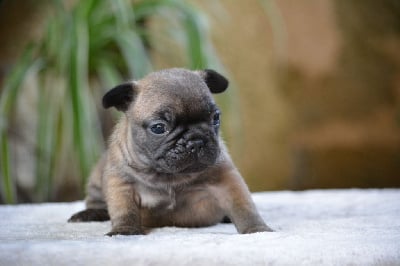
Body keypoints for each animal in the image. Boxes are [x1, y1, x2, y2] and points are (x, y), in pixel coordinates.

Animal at [69, 68, 272, 235]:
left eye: (215, 118)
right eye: (159, 128)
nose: (196, 140)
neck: (168, 176)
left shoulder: (227, 180)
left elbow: (244, 206)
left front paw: (257, 229)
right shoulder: (121, 184)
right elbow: (124, 209)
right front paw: (124, 230)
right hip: (96, 179)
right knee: (96, 201)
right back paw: (89, 214)